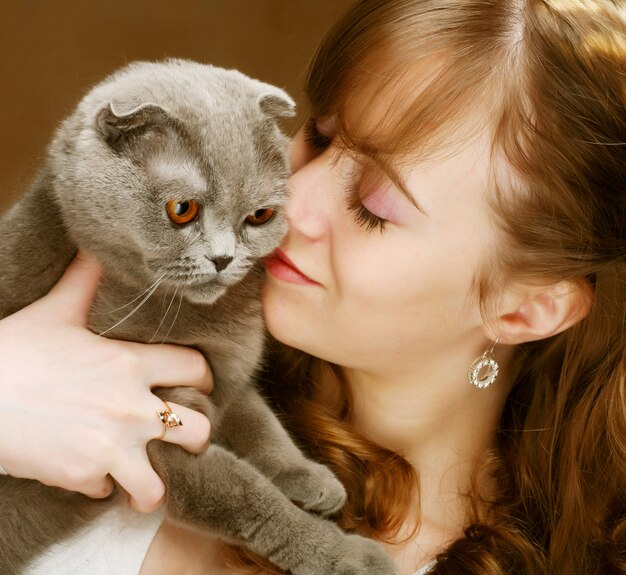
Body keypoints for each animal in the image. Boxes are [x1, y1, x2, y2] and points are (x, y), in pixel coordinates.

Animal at [0, 59, 394, 575]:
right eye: (181, 209)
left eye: (260, 215)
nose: (224, 258)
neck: (210, 320)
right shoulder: (154, 434)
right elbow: (246, 496)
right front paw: (343, 554)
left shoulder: (226, 374)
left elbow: (261, 424)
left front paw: (310, 478)